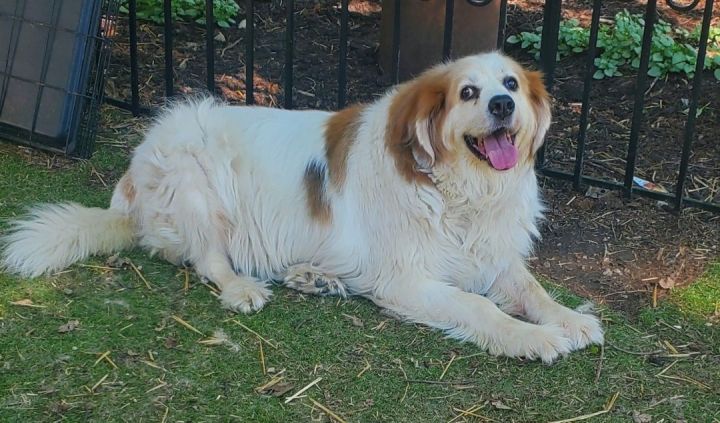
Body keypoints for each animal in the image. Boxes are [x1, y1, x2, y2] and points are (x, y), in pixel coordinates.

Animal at [1, 52, 600, 364]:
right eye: (468, 93)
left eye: (511, 84)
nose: (502, 104)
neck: (461, 190)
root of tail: (132, 176)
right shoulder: (408, 280)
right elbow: (481, 308)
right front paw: (533, 338)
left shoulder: (492, 255)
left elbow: (531, 290)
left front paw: (569, 319)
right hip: (196, 174)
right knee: (208, 259)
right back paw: (243, 288)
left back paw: (315, 278)